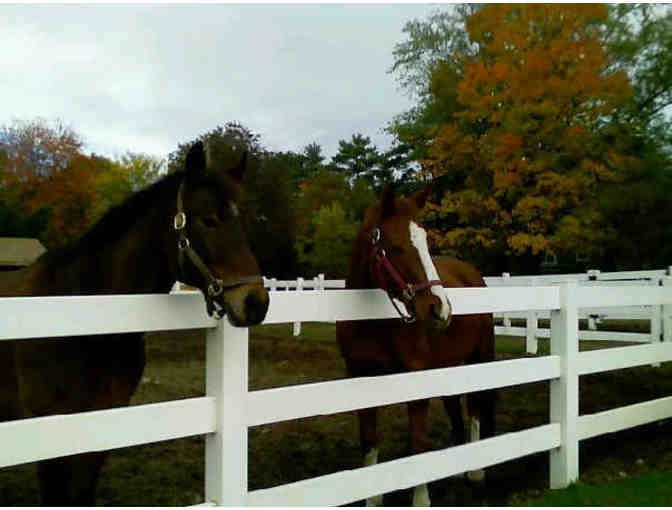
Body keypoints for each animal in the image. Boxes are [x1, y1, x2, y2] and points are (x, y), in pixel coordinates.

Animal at [336, 184, 496, 506]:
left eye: (425, 243)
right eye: (396, 246)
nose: (440, 309)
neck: (372, 323)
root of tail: (473, 273)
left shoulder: (416, 379)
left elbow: (418, 444)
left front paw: (421, 500)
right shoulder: (361, 378)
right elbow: (369, 443)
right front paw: (373, 500)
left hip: (478, 357)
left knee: (475, 407)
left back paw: (475, 471)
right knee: (455, 409)